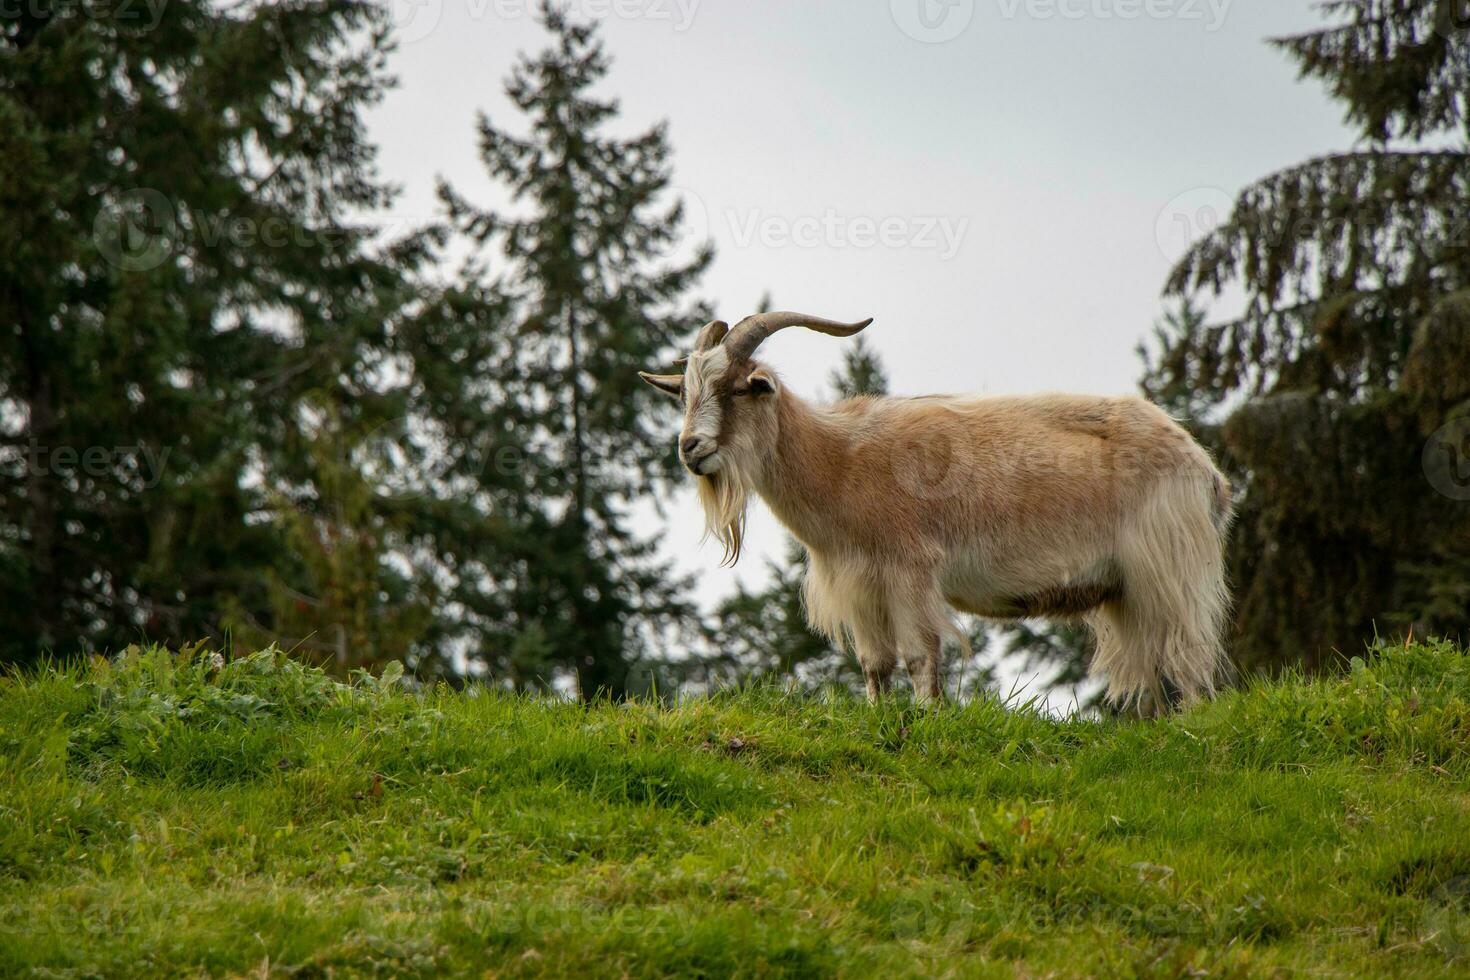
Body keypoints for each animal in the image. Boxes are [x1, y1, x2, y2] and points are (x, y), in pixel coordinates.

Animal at [640, 314, 1228, 714]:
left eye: (737, 387)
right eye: (685, 392)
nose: (689, 448)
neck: (840, 460)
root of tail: (1204, 468)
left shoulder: (909, 570)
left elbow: (920, 656)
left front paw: (926, 716)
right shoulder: (860, 582)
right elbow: (874, 663)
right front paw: (877, 717)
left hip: (1168, 569)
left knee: (1187, 655)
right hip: (1127, 592)